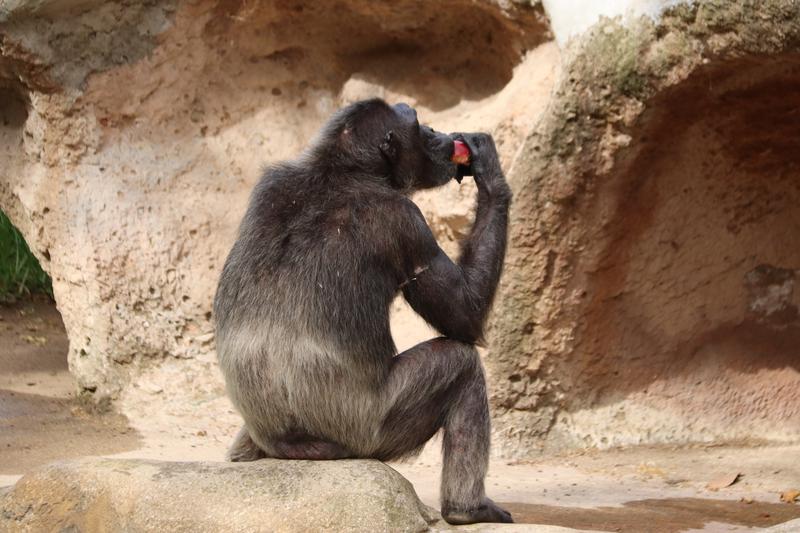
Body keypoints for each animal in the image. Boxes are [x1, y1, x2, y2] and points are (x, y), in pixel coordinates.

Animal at [212, 97, 512, 520]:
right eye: (418, 126)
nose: (436, 131)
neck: (340, 170)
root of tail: (298, 447)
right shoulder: (407, 222)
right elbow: (465, 315)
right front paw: (491, 174)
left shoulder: (268, 183)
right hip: (369, 430)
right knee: (460, 366)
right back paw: (467, 509)